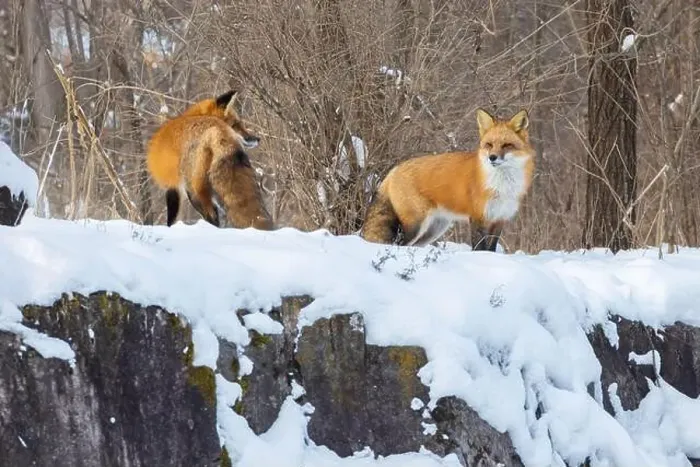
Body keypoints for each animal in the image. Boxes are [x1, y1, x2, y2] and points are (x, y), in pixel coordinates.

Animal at [147, 90, 274, 230]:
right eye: (236, 124)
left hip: (194, 191)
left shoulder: (173, 186)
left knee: (211, 217)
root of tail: (217, 130)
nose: (257, 139)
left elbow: (171, 220)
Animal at [361, 108, 534, 251]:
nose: (492, 157)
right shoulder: (478, 217)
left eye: (506, 145)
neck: (501, 185)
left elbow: (490, 249)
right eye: (489, 144)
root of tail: (395, 169)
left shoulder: (499, 218)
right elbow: (479, 248)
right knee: (399, 244)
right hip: (416, 225)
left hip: (434, 229)